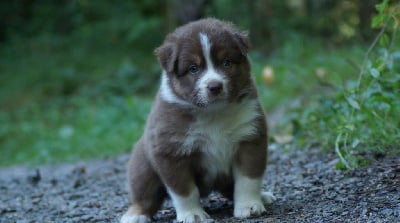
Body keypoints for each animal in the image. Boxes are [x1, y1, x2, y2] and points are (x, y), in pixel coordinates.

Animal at [119, 17, 276, 223]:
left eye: (226, 62)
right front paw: (192, 214)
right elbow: (184, 190)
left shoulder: (250, 136)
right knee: (144, 195)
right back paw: (135, 215)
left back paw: (263, 196)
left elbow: (248, 179)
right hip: (143, 166)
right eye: (193, 69)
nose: (215, 86)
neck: (213, 114)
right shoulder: (171, 151)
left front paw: (249, 206)